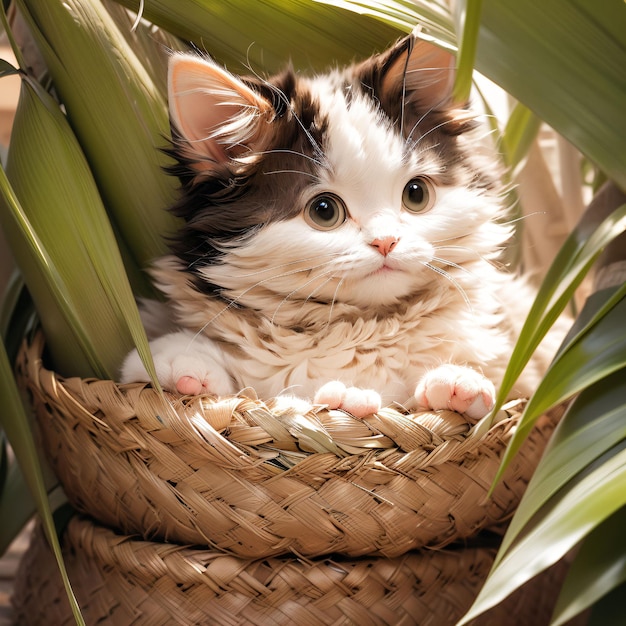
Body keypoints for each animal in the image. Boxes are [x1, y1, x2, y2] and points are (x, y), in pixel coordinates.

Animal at [122, 33, 556, 414]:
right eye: (324, 210)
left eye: (416, 194)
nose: (387, 241)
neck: (357, 331)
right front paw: (184, 363)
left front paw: (452, 384)